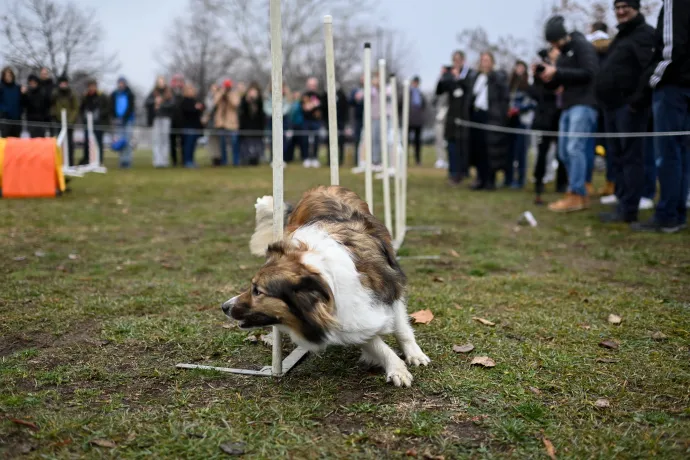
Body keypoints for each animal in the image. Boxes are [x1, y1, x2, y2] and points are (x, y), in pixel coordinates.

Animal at [222, 185, 430, 386]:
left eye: (258, 291)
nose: (224, 307)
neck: (323, 275)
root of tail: (320, 188)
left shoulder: (390, 288)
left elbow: (401, 328)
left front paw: (414, 355)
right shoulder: (346, 316)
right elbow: (373, 341)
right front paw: (396, 366)